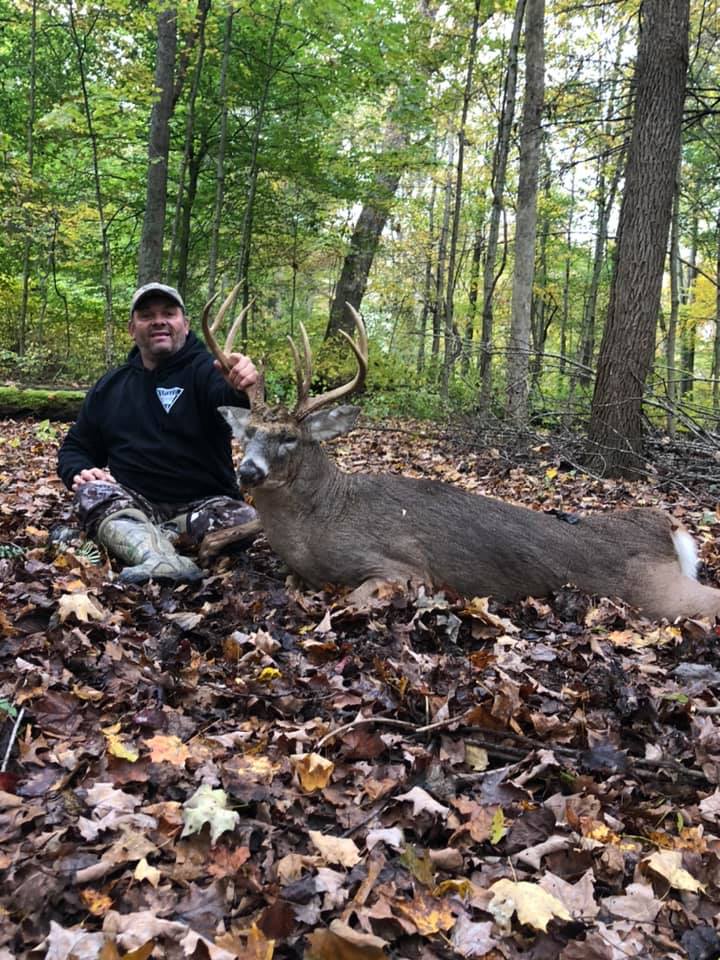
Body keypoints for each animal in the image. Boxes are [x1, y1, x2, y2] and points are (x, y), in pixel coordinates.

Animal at [199, 287, 720, 622]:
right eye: (248, 433)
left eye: (290, 437)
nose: (248, 471)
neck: (318, 520)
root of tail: (666, 525)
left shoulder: (403, 567)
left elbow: (352, 599)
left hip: (659, 592)